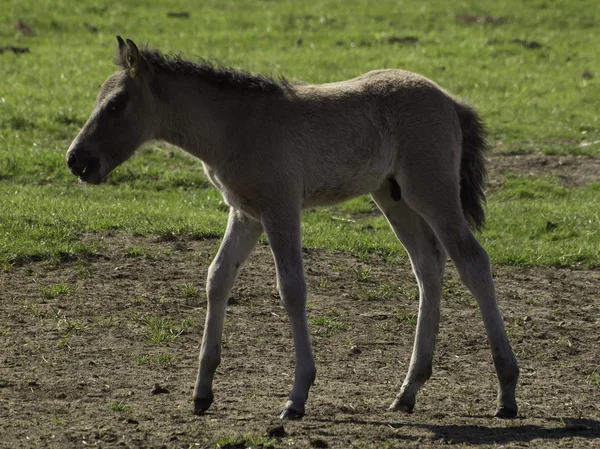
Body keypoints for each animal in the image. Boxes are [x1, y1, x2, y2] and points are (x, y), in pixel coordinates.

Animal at [64, 36, 516, 418]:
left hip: (432, 192)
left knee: (472, 261)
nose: (76, 159)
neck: (235, 127)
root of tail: (451, 101)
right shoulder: (245, 214)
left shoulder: (280, 207)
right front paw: (201, 392)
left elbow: (292, 288)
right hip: (393, 197)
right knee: (428, 265)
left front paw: (297, 397)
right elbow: (217, 278)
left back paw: (506, 393)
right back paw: (408, 391)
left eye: (116, 104)